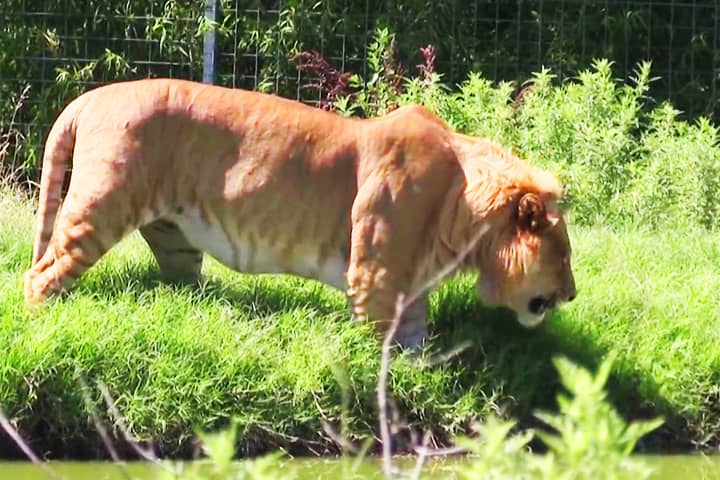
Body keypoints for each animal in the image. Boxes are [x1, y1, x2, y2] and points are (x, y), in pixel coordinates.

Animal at [23, 79, 572, 348]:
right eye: (564, 255)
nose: (572, 295)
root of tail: (89, 97)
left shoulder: (410, 286)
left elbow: (415, 336)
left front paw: (423, 369)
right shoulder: (374, 274)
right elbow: (377, 341)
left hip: (175, 238)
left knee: (180, 283)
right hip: (102, 204)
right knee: (42, 273)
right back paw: (41, 322)